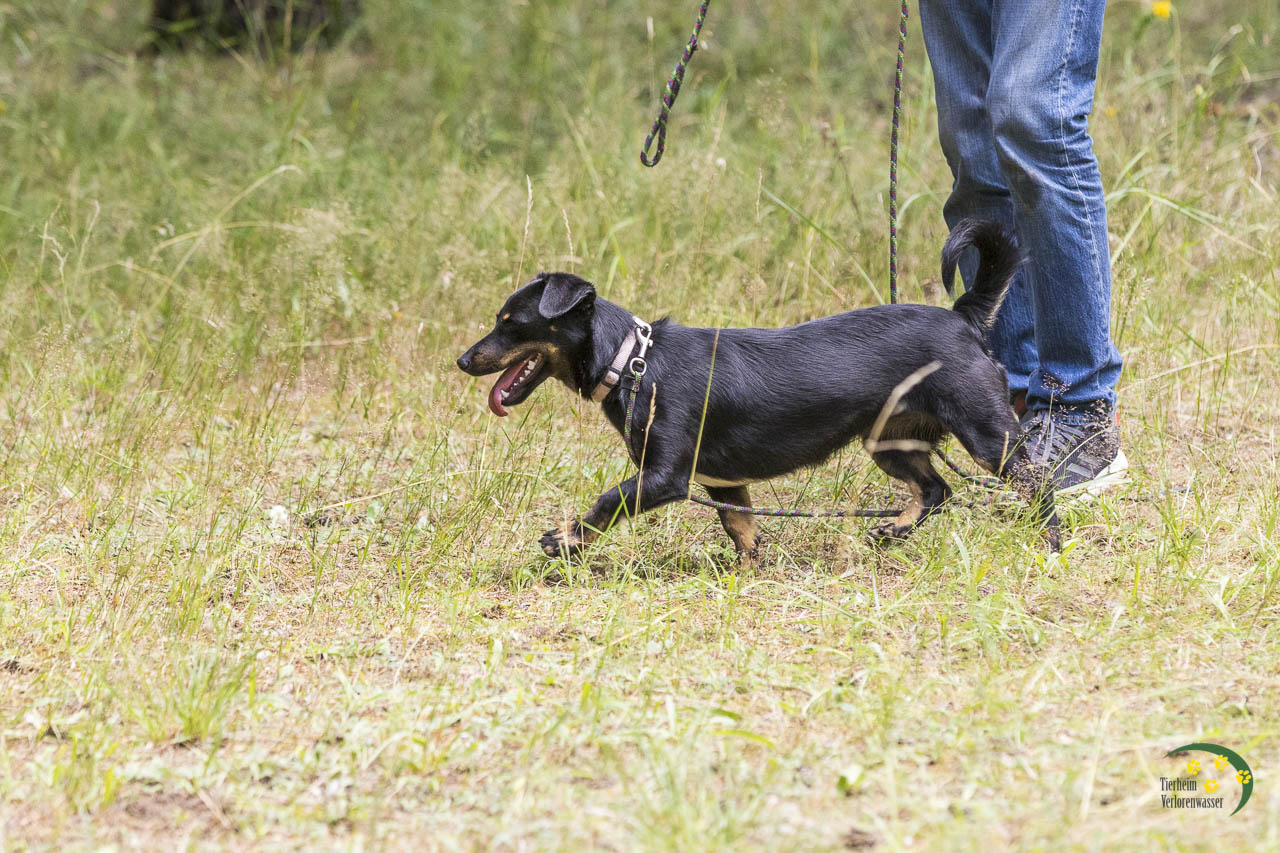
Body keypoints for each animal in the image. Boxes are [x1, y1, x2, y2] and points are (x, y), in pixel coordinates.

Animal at [456, 219, 1059, 562]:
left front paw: (565, 540)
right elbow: (740, 526)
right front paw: (751, 569)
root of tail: (963, 318)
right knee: (936, 490)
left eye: (511, 323)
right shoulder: (722, 480)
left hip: (989, 437)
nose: (462, 360)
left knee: (1038, 485)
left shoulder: (665, 477)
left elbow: (608, 501)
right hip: (888, 441)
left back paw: (1050, 547)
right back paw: (894, 531)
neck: (633, 363)